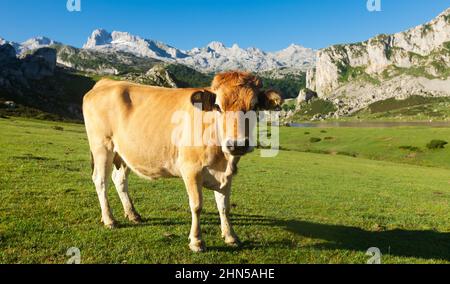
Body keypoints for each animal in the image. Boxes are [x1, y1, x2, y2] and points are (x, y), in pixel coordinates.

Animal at [82, 70, 284, 251]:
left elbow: (224, 207)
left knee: (119, 180)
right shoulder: (191, 170)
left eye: (255, 107)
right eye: (218, 106)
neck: (223, 160)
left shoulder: (227, 174)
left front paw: (230, 236)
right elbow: (197, 206)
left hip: (124, 153)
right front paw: (196, 241)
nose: (237, 145)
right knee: (101, 181)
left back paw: (133, 214)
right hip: (102, 147)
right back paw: (109, 219)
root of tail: (106, 82)